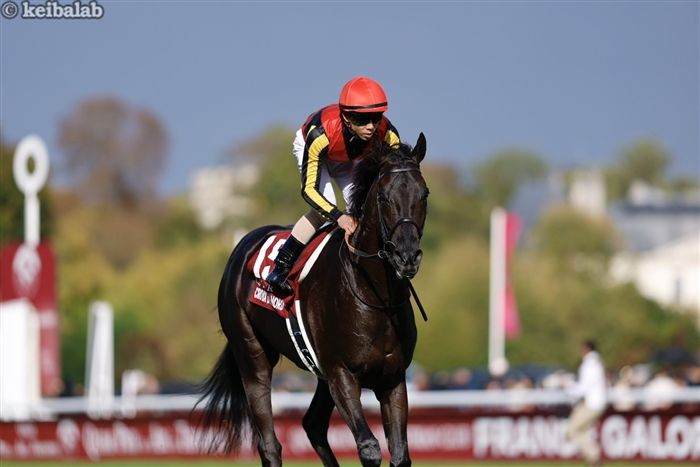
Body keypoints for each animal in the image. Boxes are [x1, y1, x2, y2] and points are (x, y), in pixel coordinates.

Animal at [197, 133, 429, 467]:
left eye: (424, 194)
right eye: (384, 197)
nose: (407, 256)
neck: (374, 297)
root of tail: (241, 247)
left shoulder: (392, 378)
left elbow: (400, 455)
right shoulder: (342, 374)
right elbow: (369, 448)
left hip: (319, 375)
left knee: (313, 424)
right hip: (252, 356)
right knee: (269, 443)